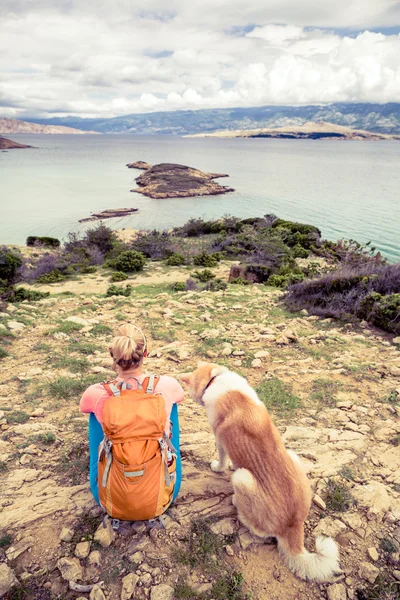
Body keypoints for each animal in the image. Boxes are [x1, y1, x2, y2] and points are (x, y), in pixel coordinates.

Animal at [181, 360, 340, 580]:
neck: (216, 380)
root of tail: (291, 526)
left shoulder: (220, 441)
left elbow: (221, 460)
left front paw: (218, 467)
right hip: (292, 455)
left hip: (241, 478)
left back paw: (235, 502)